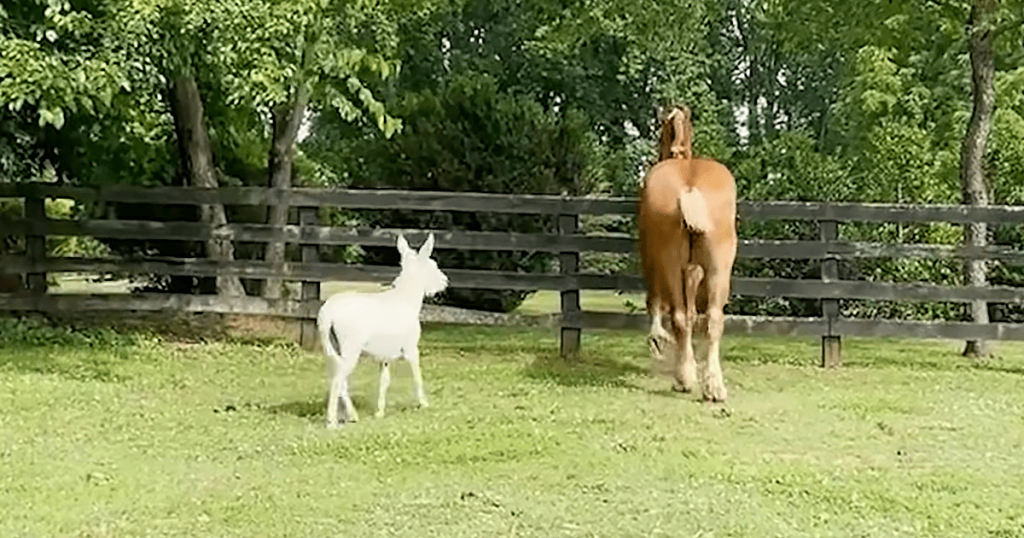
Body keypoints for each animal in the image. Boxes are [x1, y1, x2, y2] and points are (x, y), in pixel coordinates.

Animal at [638, 104, 737, 397]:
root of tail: (690, 187)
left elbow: (657, 301)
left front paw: (657, 339)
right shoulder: (695, 270)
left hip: (669, 262)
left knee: (679, 316)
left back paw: (683, 379)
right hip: (719, 267)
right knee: (713, 319)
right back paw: (713, 386)